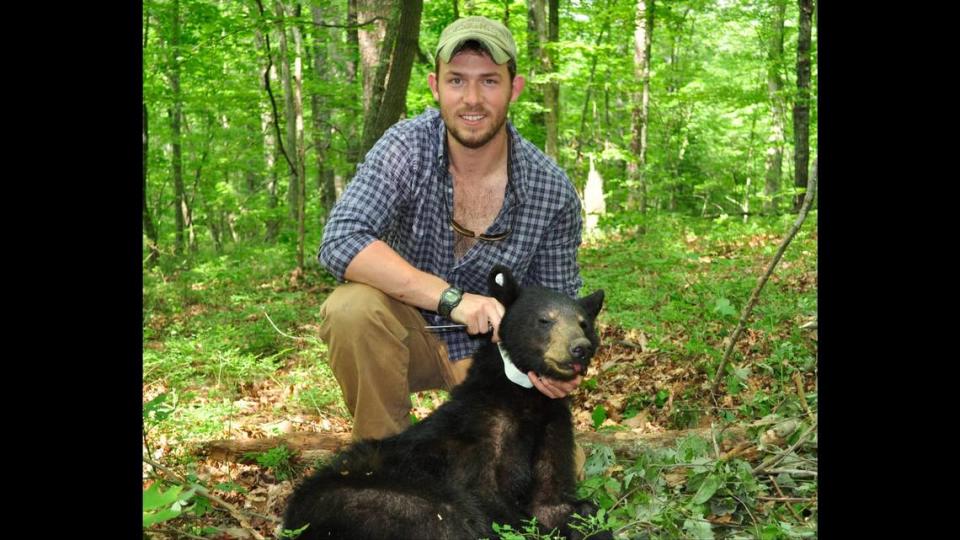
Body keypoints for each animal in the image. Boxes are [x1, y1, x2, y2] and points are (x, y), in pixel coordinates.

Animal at [284, 266, 612, 540]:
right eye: (545, 319)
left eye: (584, 324)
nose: (579, 348)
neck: (524, 397)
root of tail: (292, 517)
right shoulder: (482, 433)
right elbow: (495, 506)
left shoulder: (551, 425)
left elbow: (557, 502)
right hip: (388, 500)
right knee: (452, 519)